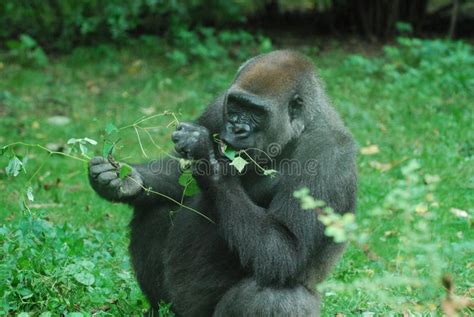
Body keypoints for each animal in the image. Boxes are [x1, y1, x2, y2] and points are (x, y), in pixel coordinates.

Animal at [88, 50, 356, 314]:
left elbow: (287, 250)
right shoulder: (219, 106)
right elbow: (178, 175)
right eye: (236, 105)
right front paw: (125, 181)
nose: (236, 128)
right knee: (157, 208)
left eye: (256, 112)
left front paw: (207, 156)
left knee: (275, 294)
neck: (298, 129)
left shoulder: (329, 158)